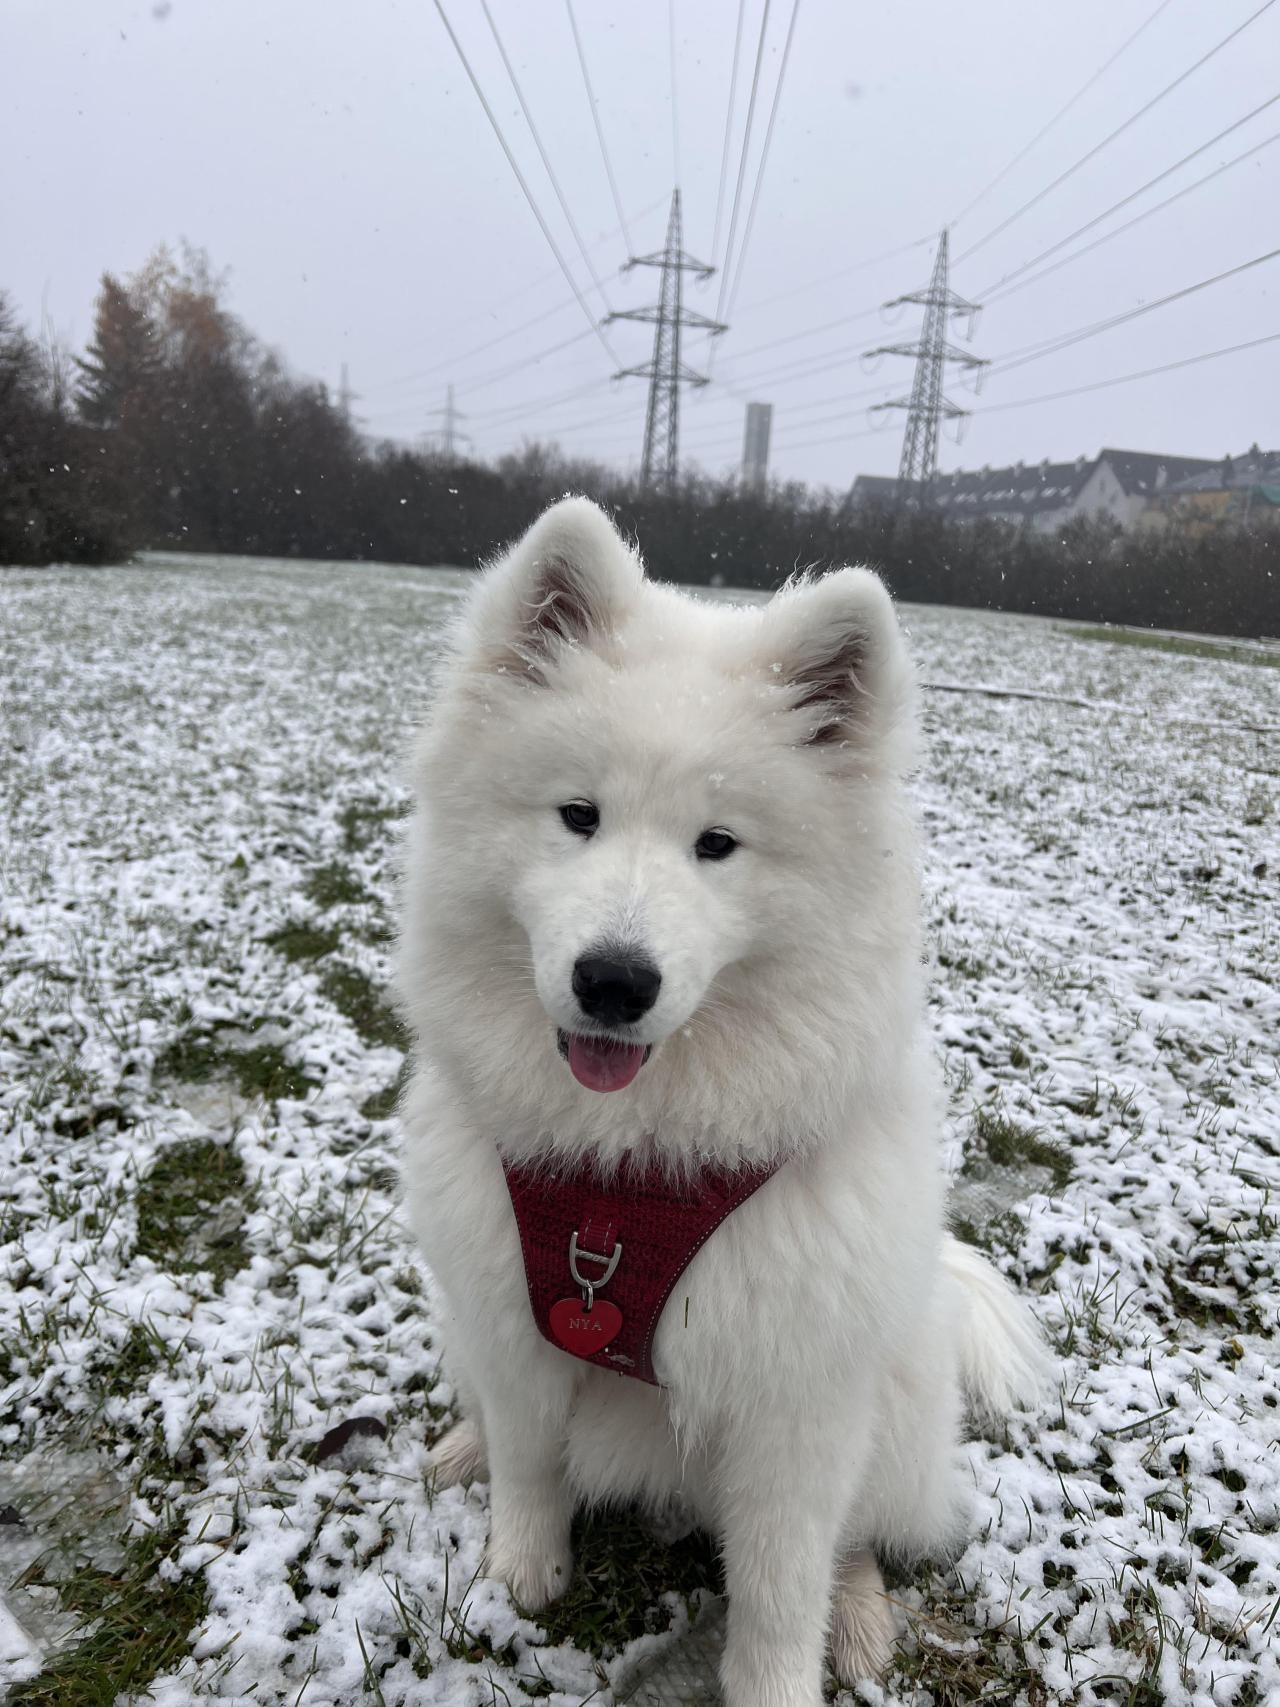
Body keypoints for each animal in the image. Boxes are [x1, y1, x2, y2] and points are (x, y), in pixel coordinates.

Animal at [401, 498, 1051, 1707]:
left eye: (717, 844)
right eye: (577, 815)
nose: (614, 982)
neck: (627, 1167)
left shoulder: (792, 1405)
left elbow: (782, 1585)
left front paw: (777, 1682)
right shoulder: (511, 1317)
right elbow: (529, 1458)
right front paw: (520, 1571)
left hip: (887, 1409)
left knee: (856, 1541)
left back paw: (861, 1623)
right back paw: (460, 1447)